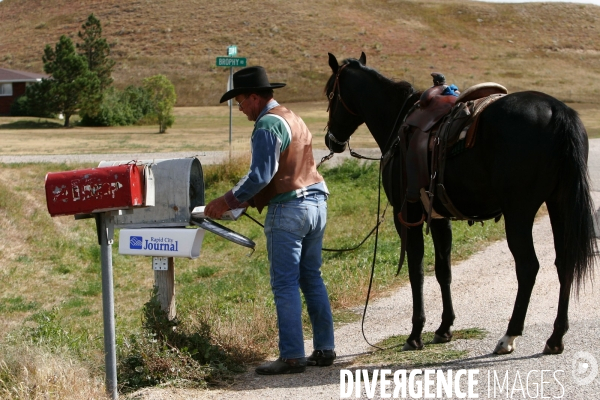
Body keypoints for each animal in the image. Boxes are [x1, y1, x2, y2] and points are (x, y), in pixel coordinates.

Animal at [326, 51, 596, 354]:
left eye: (330, 93)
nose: (331, 140)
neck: (399, 123)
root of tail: (557, 110)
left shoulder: (407, 215)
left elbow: (416, 270)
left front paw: (415, 333)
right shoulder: (438, 216)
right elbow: (443, 270)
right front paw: (444, 328)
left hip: (519, 212)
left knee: (528, 267)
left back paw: (509, 336)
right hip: (558, 203)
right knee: (565, 262)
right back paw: (555, 337)